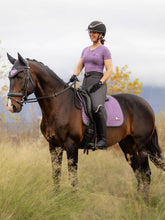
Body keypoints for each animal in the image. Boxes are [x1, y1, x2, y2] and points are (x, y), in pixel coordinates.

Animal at [6, 53, 165, 198]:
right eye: (9, 77)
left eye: (20, 76)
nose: (11, 106)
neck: (60, 106)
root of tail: (147, 105)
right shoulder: (54, 146)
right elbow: (56, 174)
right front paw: (56, 198)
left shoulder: (71, 145)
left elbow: (73, 176)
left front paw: (73, 200)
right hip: (128, 146)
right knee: (138, 171)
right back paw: (138, 199)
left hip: (142, 145)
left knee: (146, 172)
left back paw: (144, 201)